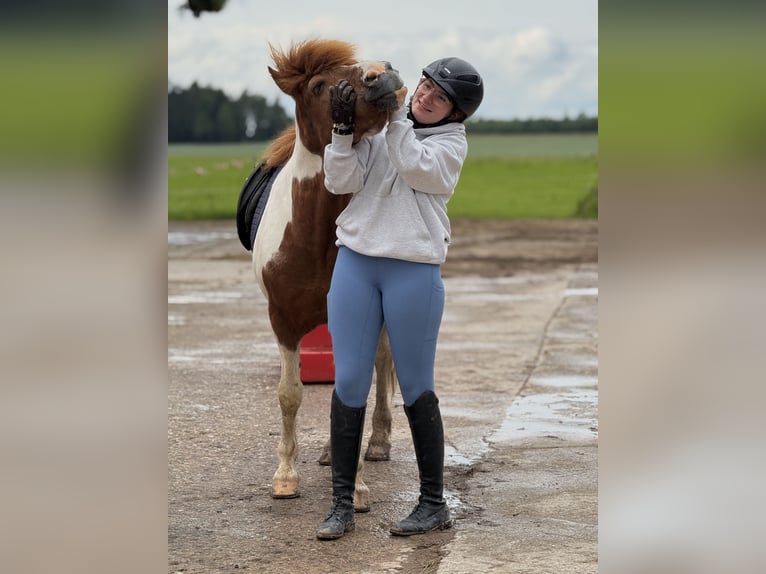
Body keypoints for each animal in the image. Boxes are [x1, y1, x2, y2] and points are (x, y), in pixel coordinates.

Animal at [251, 39, 404, 511]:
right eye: (319, 85)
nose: (383, 73)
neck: (314, 236)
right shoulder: (282, 322)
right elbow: (290, 394)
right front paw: (286, 477)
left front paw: (355, 485)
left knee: (381, 363)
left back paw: (376, 442)